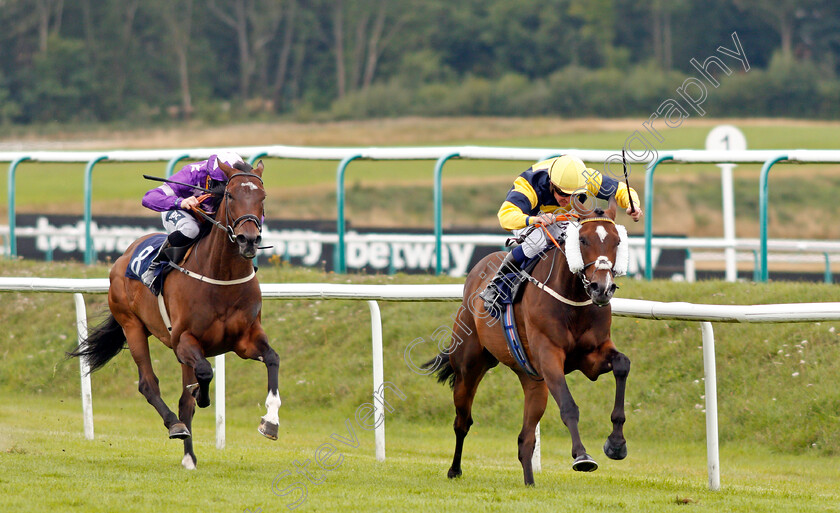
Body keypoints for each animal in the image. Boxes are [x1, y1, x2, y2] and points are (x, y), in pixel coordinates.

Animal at [69, 159, 278, 468]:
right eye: (230, 195)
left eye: (262, 197)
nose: (248, 239)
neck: (222, 278)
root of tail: (125, 254)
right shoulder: (183, 340)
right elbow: (204, 372)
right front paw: (202, 397)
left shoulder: (245, 340)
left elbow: (272, 359)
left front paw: (271, 421)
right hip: (132, 325)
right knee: (148, 384)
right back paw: (176, 425)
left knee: (182, 399)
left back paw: (189, 456)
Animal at [426, 195, 632, 484]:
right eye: (583, 240)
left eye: (617, 241)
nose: (602, 288)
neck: (573, 300)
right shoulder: (549, 355)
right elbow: (568, 405)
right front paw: (582, 456)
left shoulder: (593, 355)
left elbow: (622, 364)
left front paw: (616, 443)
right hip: (469, 368)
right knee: (462, 421)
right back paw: (454, 469)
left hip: (532, 380)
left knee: (525, 439)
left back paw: (529, 482)